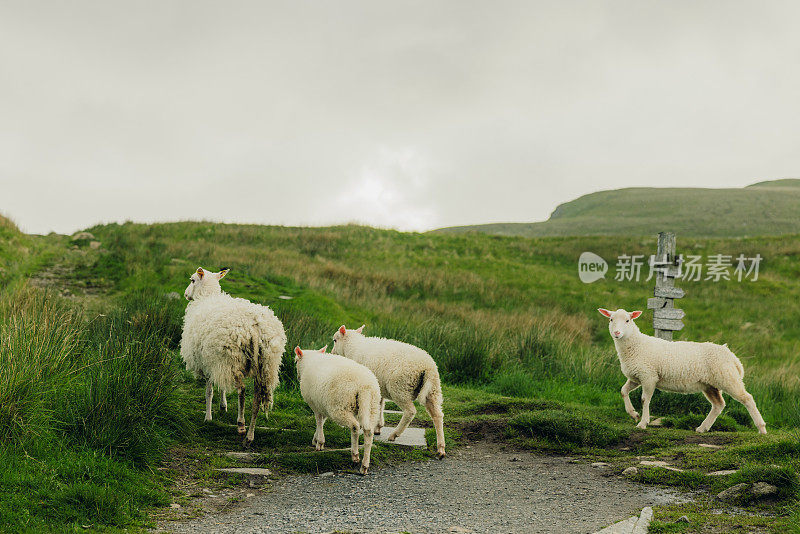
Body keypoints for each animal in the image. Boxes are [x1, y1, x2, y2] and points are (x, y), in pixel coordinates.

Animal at [181, 268, 288, 448]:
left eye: (192, 280)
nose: (185, 294)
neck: (206, 297)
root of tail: (255, 326)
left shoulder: (209, 361)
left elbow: (209, 391)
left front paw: (208, 417)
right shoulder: (217, 361)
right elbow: (221, 386)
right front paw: (223, 406)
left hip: (232, 358)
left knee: (242, 390)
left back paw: (241, 425)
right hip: (265, 364)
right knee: (257, 397)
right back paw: (249, 437)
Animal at [294, 346, 382, 476]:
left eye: (295, 361)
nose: (298, 377)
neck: (309, 362)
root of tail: (364, 386)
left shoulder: (315, 404)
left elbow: (319, 421)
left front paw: (319, 443)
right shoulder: (322, 404)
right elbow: (322, 421)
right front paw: (315, 439)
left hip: (340, 406)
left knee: (355, 426)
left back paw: (355, 454)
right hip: (372, 407)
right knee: (368, 432)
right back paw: (364, 465)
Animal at [328, 326, 446, 460]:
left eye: (335, 340)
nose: (332, 353)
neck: (352, 347)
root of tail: (427, 367)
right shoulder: (378, 387)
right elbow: (380, 405)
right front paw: (378, 427)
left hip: (400, 388)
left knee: (410, 411)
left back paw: (394, 434)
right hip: (433, 390)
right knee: (437, 415)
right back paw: (441, 448)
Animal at [596, 310, 764, 436]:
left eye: (627, 320)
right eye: (611, 319)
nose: (617, 332)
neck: (636, 346)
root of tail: (733, 357)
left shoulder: (649, 376)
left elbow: (644, 399)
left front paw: (643, 423)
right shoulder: (636, 377)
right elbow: (623, 391)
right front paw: (633, 414)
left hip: (727, 378)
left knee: (747, 398)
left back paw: (761, 428)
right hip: (710, 385)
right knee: (718, 405)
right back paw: (702, 428)